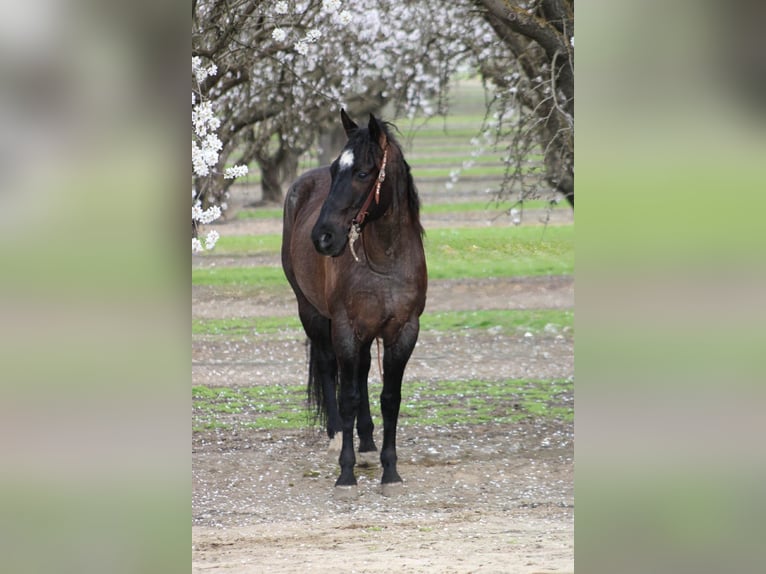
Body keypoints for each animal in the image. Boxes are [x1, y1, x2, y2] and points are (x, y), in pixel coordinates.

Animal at [281, 110, 427, 496]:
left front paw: (390, 471)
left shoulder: (402, 331)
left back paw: (367, 446)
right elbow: (346, 395)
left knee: (361, 373)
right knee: (330, 367)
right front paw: (345, 474)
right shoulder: (345, 328)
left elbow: (389, 398)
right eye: (336, 170)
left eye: (362, 172)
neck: (385, 261)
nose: (323, 236)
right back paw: (337, 438)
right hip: (313, 314)